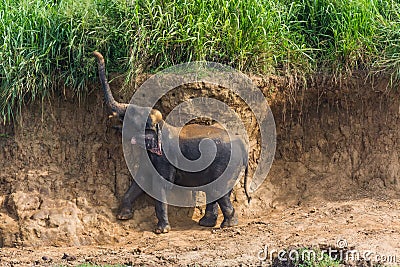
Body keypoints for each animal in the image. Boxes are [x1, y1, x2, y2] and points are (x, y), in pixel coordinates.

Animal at [94, 51, 250, 233]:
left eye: (132, 116)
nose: (96, 53)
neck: (161, 124)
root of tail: (242, 144)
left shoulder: (165, 158)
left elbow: (160, 184)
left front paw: (161, 231)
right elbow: (141, 180)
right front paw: (123, 216)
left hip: (225, 163)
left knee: (217, 189)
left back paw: (228, 224)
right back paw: (207, 223)